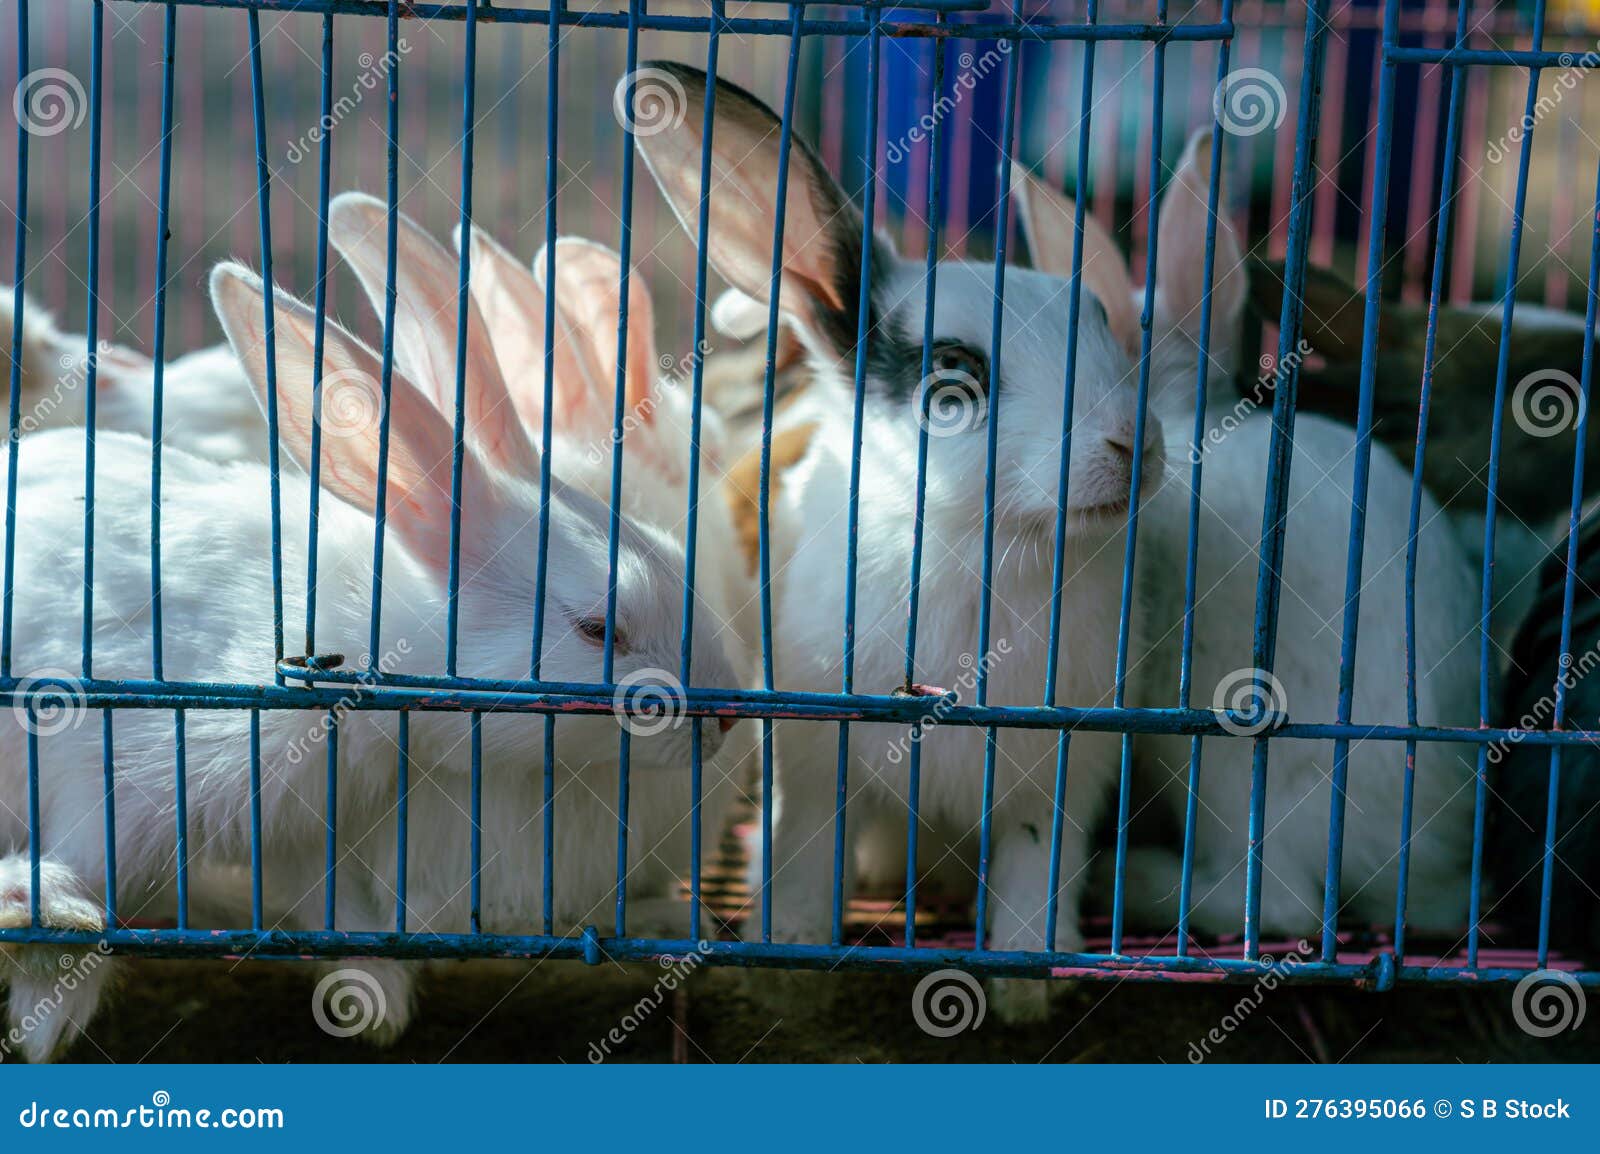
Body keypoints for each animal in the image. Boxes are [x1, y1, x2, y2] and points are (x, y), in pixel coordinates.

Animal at [0, 262, 735, 1060]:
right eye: (600, 629)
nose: (726, 720)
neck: (357, 655)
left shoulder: (300, 828)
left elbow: (339, 910)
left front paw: (373, 1000)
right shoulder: (124, 778)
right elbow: (88, 873)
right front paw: (48, 999)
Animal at [626, 62, 1167, 1022]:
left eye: (1101, 324)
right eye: (953, 381)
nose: (1132, 444)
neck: (983, 544)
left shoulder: (1059, 780)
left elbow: (1033, 877)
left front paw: (1024, 990)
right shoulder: (813, 758)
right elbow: (805, 856)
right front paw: (788, 958)